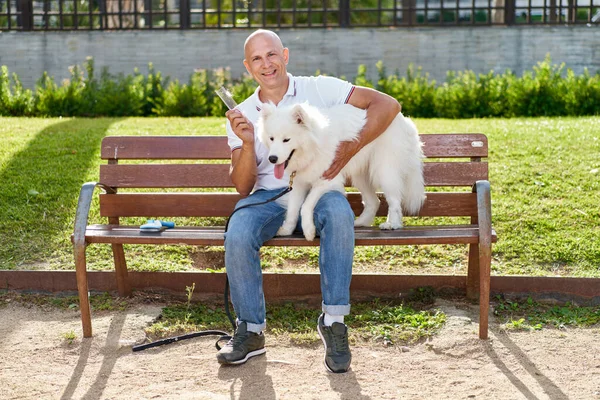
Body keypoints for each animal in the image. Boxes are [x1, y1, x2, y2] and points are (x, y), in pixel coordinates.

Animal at [258, 103, 426, 241]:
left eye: (286, 140)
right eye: (271, 138)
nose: (272, 158)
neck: (313, 146)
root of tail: (404, 120)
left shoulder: (326, 180)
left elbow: (305, 206)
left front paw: (309, 231)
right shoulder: (298, 183)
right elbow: (293, 210)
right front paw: (287, 230)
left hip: (385, 171)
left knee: (394, 200)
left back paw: (393, 224)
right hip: (361, 176)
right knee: (374, 201)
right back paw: (361, 223)